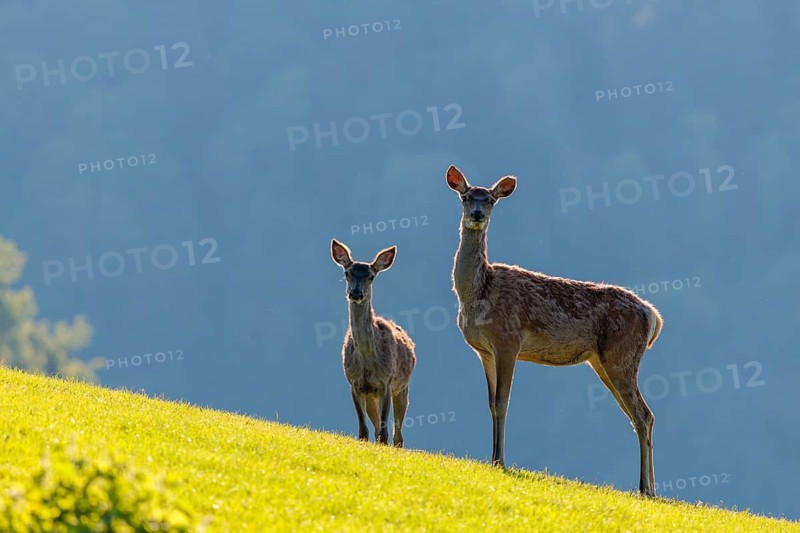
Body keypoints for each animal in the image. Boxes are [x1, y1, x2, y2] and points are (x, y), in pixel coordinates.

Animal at [330, 239, 416, 447]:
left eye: (371, 276)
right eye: (347, 273)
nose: (356, 293)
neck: (368, 362)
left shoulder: (387, 381)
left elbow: (384, 434)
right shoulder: (354, 382)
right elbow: (363, 431)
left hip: (403, 387)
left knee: (398, 436)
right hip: (372, 395)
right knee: (378, 428)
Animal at [445, 165, 664, 496]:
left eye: (492, 200)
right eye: (466, 197)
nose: (478, 214)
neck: (478, 295)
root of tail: (652, 316)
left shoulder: (508, 341)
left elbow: (503, 402)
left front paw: (500, 460)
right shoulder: (484, 351)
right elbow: (491, 403)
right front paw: (492, 457)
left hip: (621, 355)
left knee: (642, 414)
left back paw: (645, 488)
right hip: (601, 361)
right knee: (640, 415)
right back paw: (648, 488)